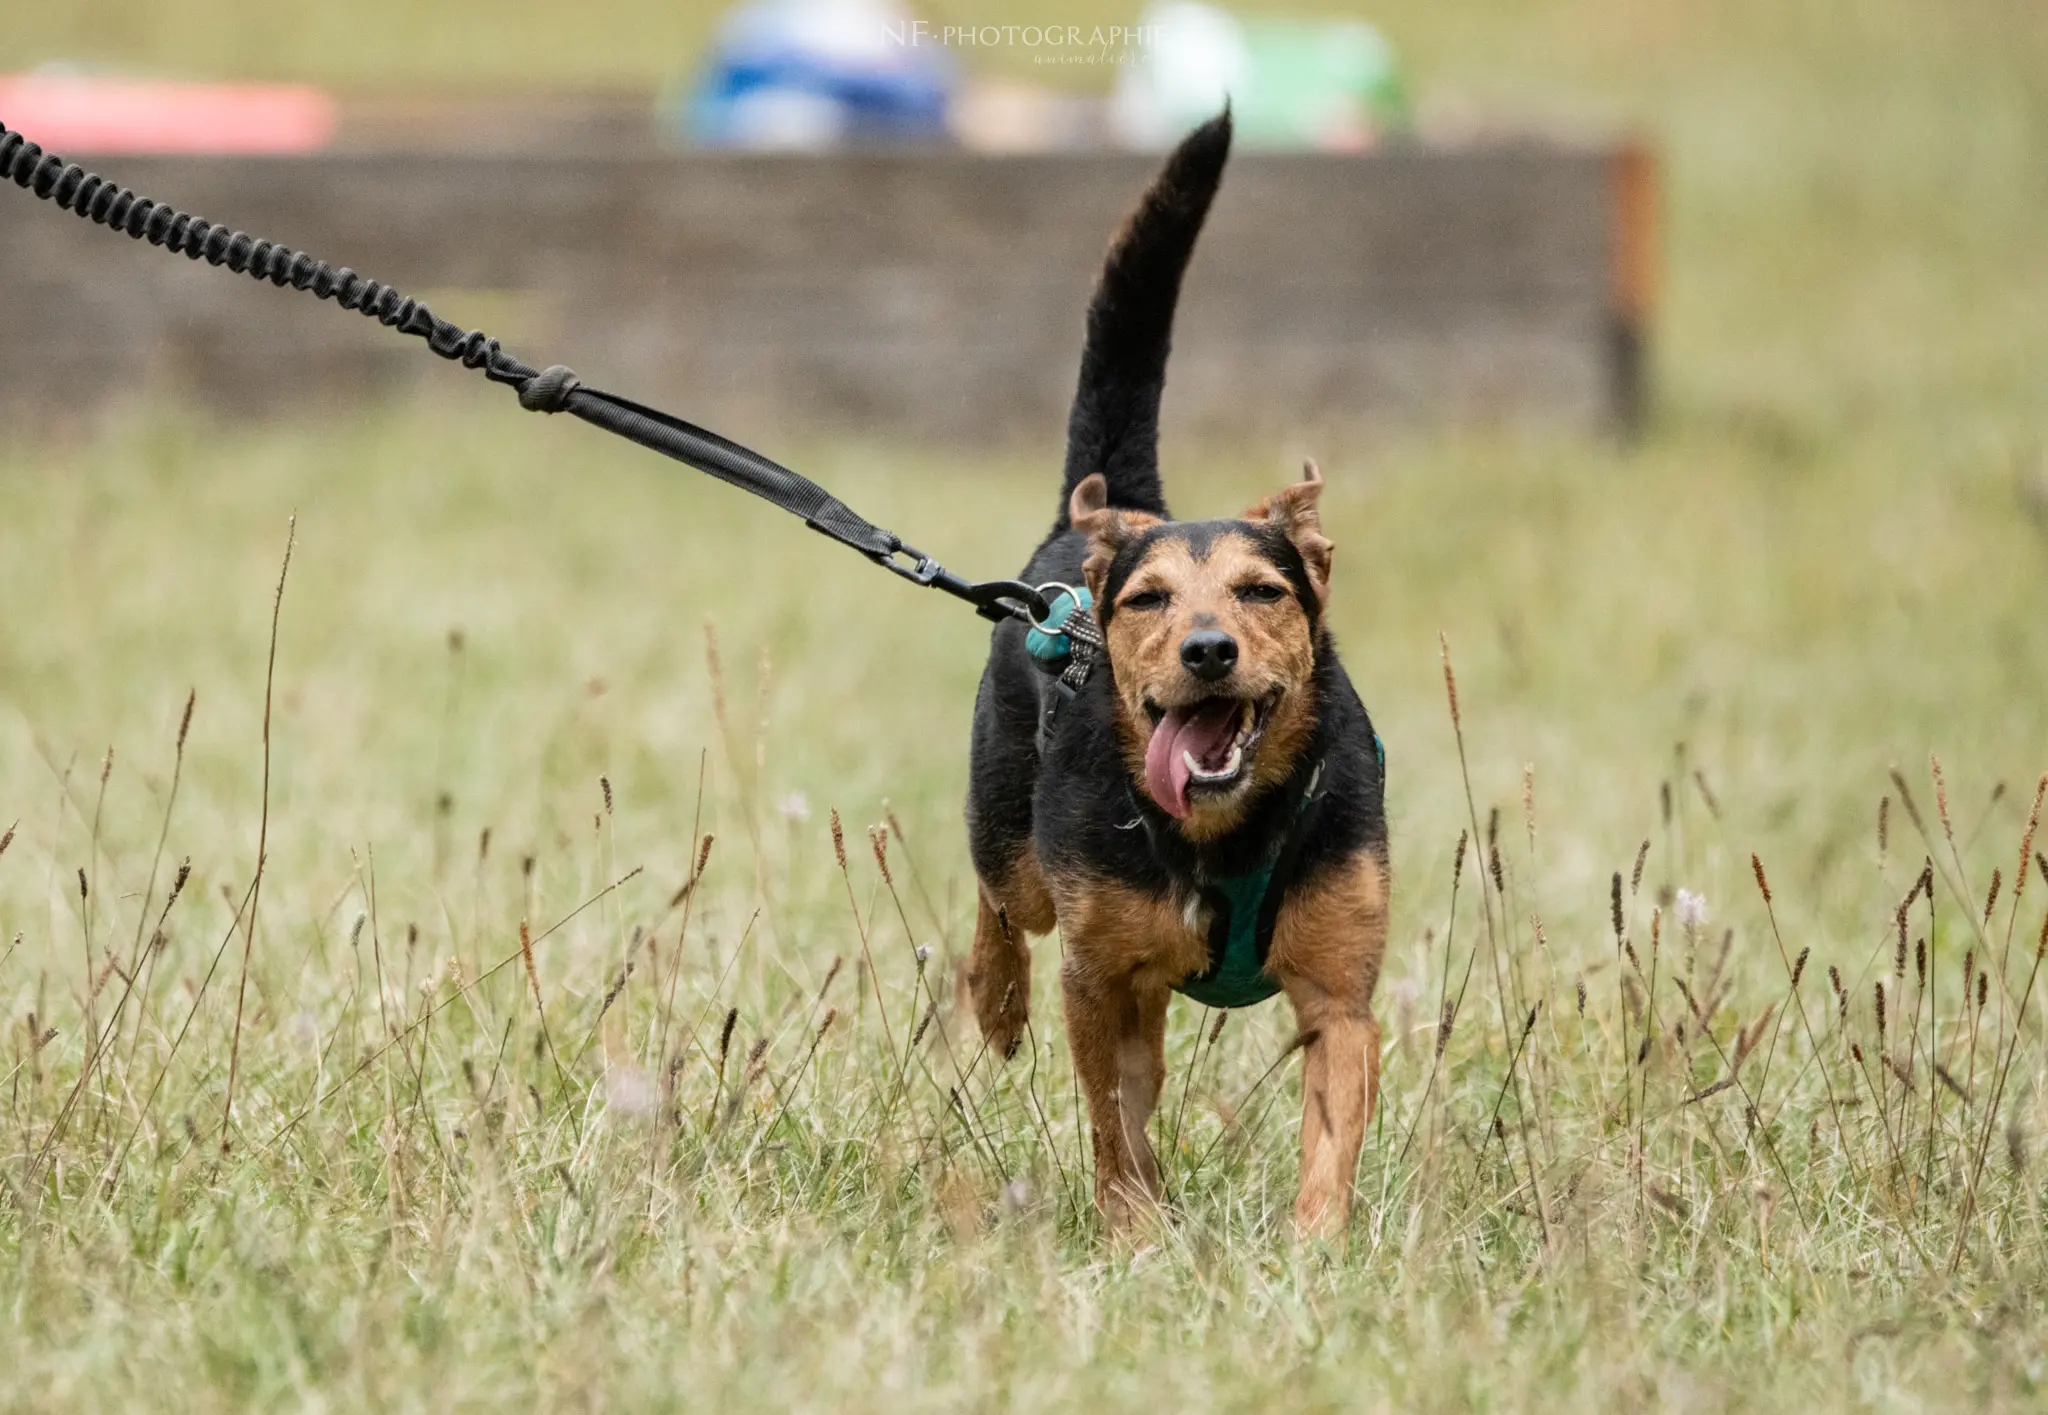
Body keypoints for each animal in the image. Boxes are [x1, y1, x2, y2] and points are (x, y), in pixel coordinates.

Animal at [962, 113, 1392, 1236]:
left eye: (1260, 590)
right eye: (1150, 602)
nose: (1207, 650)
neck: (1221, 832)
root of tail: (1109, 508)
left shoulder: (1339, 992)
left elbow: (1331, 1125)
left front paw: (1315, 1246)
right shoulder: (1100, 974)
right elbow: (1113, 1119)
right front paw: (1132, 1230)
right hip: (1014, 839)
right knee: (1000, 908)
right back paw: (994, 1002)